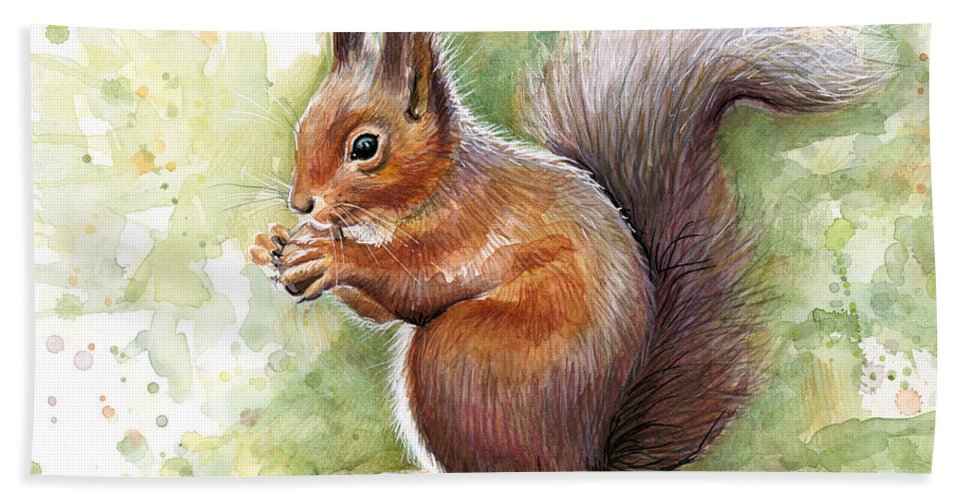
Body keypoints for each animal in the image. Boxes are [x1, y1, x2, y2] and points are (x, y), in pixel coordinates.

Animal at [249, 29, 895, 472]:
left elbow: (417, 284)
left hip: (458, 362)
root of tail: (584, 460)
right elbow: (382, 310)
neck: (440, 183)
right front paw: (275, 246)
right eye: (302, 127)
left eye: (365, 147)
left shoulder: (472, 230)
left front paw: (328, 258)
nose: (301, 203)